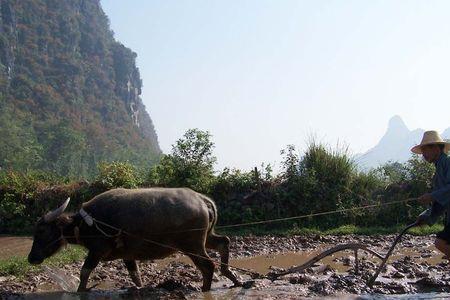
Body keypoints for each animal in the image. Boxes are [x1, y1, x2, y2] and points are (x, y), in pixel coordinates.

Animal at [28, 189, 243, 292]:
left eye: (42, 230)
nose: (31, 258)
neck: (87, 223)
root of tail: (202, 200)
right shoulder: (128, 255)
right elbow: (135, 276)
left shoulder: (97, 251)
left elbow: (84, 272)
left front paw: (80, 291)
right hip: (205, 238)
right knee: (224, 242)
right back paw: (233, 278)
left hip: (192, 244)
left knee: (208, 266)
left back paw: (205, 289)